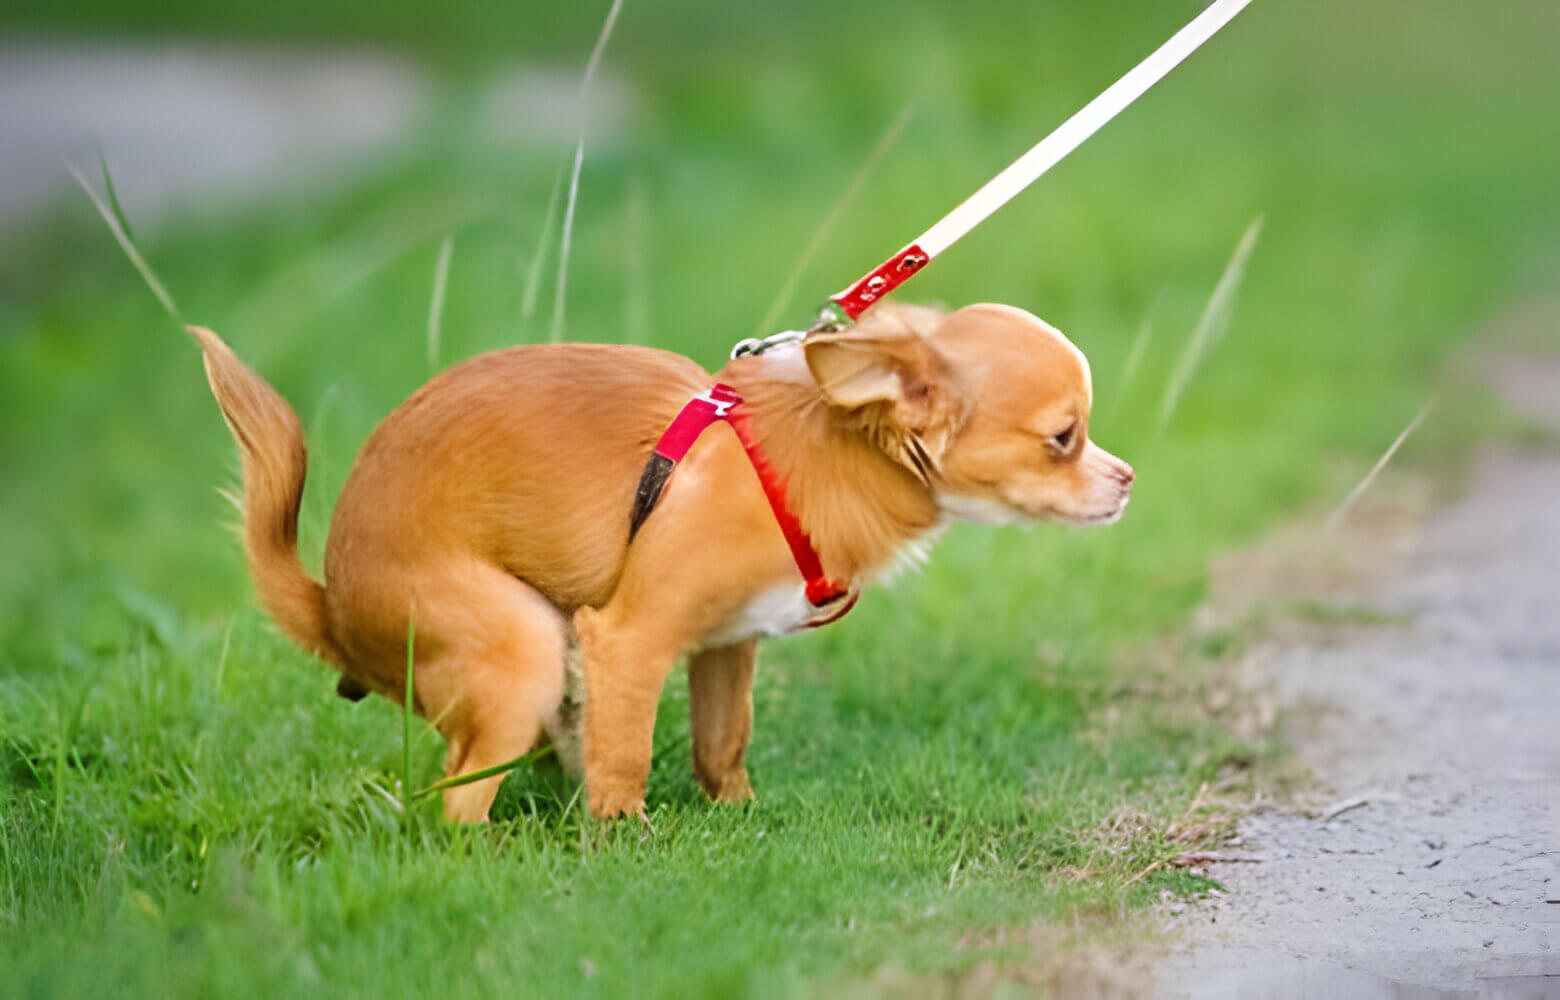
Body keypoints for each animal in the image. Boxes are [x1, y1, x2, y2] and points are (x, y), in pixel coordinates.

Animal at [198, 302, 1135, 817]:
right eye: (1064, 438)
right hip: (519, 649)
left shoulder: (726, 645)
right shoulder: (629, 638)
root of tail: (332, 607)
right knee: (451, 806)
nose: (1127, 480)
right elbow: (628, 755)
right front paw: (624, 837)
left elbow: (722, 741)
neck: (820, 453)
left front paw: (740, 814)